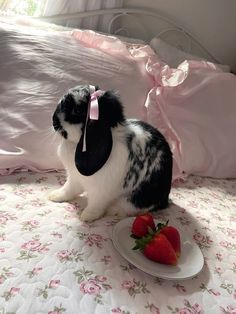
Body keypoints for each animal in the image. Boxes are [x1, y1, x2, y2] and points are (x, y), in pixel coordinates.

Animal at [48, 84, 172, 222]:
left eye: (78, 110)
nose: (53, 121)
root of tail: (164, 200)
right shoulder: (74, 177)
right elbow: (69, 189)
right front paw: (55, 196)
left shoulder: (100, 190)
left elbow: (96, 204)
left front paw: (86, 216)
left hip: (137, 199)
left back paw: (114, 211)